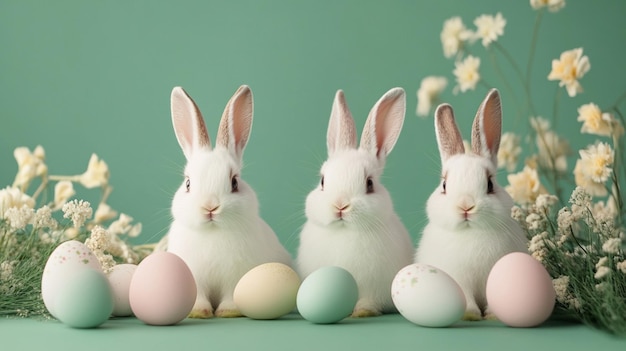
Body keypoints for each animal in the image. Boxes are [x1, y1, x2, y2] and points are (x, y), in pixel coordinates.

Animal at [166, 85, 292, 320]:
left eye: (234, 182)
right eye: (188, 183)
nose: (210, 207)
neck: (213, 232)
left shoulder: (236, 277)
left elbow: (231, 295)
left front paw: (229, 311)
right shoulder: (195, 277)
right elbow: (198, 296)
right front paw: (198, 311)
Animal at [294, 88, 412, 320]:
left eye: (369, 184)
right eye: (323, 181)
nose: (340, 206)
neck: (344, 230)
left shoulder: (372, 289)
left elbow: (367, 301)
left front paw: (363, 311)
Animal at [414, 88, 528, 322]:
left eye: (490, 184)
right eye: (444, 185)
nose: (465, 206)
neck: (471, 232)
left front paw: (493, 315)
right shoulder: (458, 278)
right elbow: (465, 296)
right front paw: (470, 314)